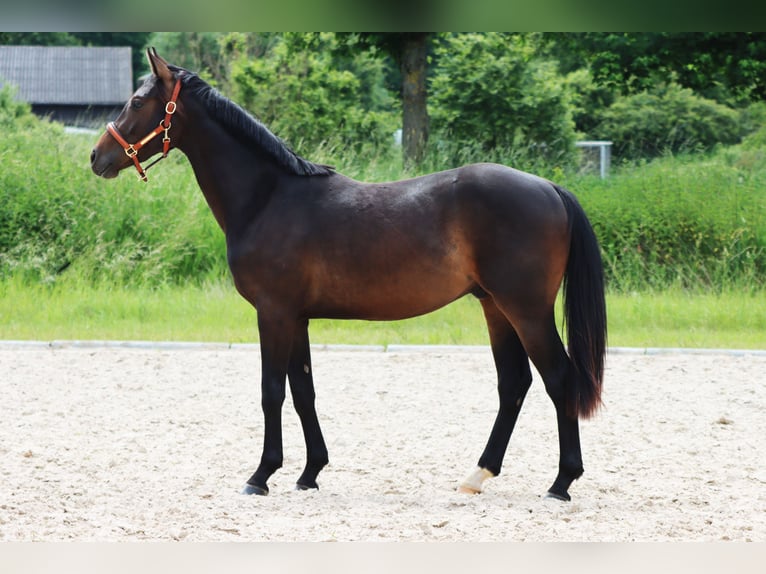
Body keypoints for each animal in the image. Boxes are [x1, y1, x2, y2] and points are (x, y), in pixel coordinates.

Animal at [90, 49, 608, 502]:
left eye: (138, 101)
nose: (97, 157)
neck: (268, 197)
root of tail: (550, 188)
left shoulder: (273, 314)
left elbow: (271, 392)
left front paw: (261, 476)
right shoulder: (296, 318)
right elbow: (303, 392)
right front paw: (309, 473)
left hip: (526, 311)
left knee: (558, 379)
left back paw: (561, 482)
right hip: (495, 308)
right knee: (513, 384)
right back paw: (477, 475)